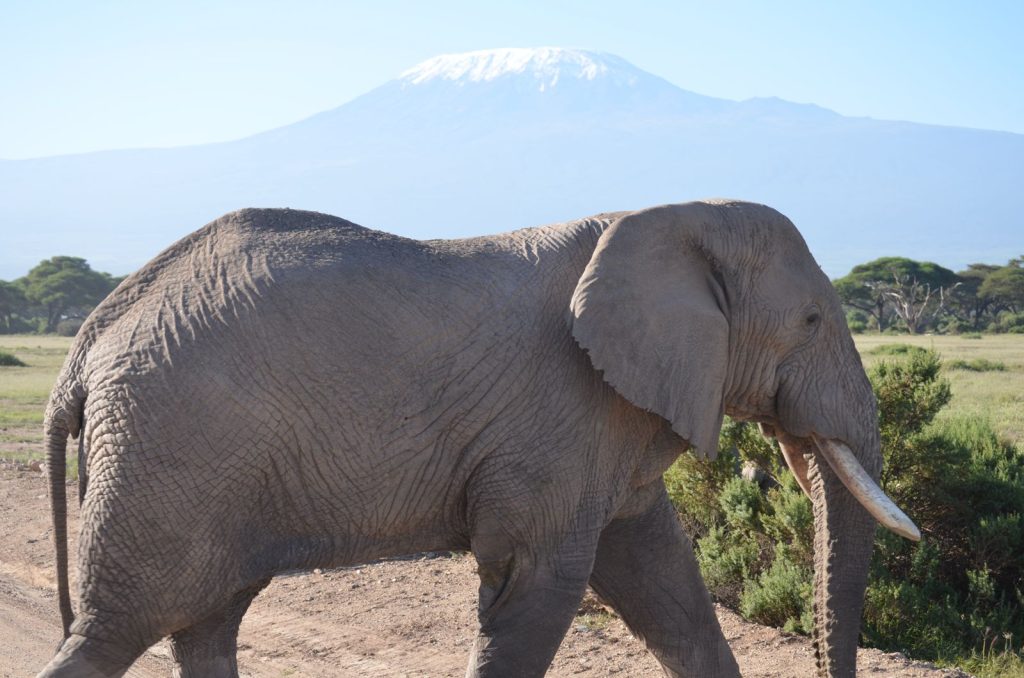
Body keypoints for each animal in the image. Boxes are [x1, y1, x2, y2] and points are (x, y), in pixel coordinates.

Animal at [38, 199, 919, 678]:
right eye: (812, 321)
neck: (670, 216)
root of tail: (86, 344)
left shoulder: (609, 424)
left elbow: (665, 585)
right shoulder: (561, 410)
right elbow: (539, 585)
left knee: (204, 625)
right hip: (169, 449)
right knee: (120, 628)